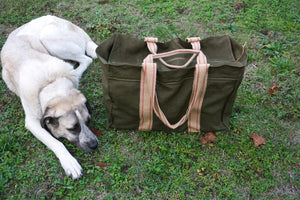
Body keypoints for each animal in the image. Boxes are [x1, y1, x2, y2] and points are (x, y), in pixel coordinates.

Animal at [1, 14, 99, 179]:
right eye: (72, 129)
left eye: (88, 121)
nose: (95, 145)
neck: (50, 82)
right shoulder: (32, 122)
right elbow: (56, 142)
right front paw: (70, 163)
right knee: (85, 59)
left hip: (50, 37)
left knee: (86, 59)